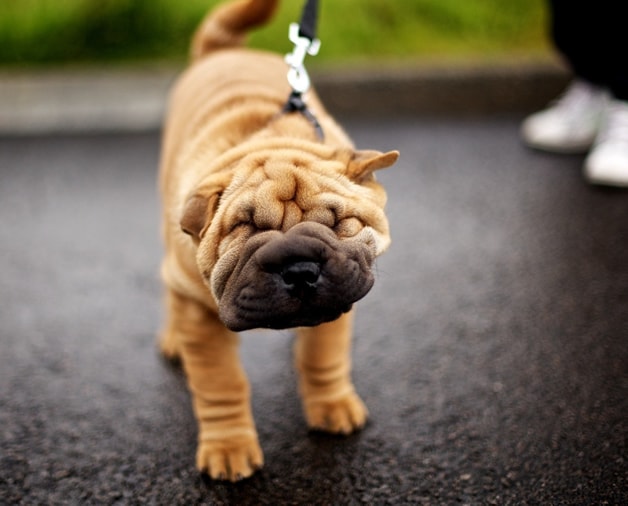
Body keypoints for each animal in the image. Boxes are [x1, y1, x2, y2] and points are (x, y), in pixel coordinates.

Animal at [159, 0, 400, 482]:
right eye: (245, 231)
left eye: (339, 223)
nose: (300, 268)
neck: (269, 142)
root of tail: (222, 52)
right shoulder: (198, 311)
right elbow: (220, 384)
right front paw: (229, 449)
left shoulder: (339, 294)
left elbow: (323, 357)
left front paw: (333, 407)